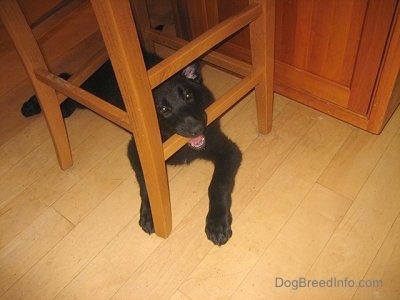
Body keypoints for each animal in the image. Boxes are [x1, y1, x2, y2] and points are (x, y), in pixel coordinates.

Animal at [21, 52, 242, 245]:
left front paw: (217, 223)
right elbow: (146, 185)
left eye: (188, 95)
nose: (197, 128)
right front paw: (150, 215)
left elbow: (217, 185)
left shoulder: (228, 150)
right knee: (67, 79)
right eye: (163, 109)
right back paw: (32, 105)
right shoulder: (137, 152)